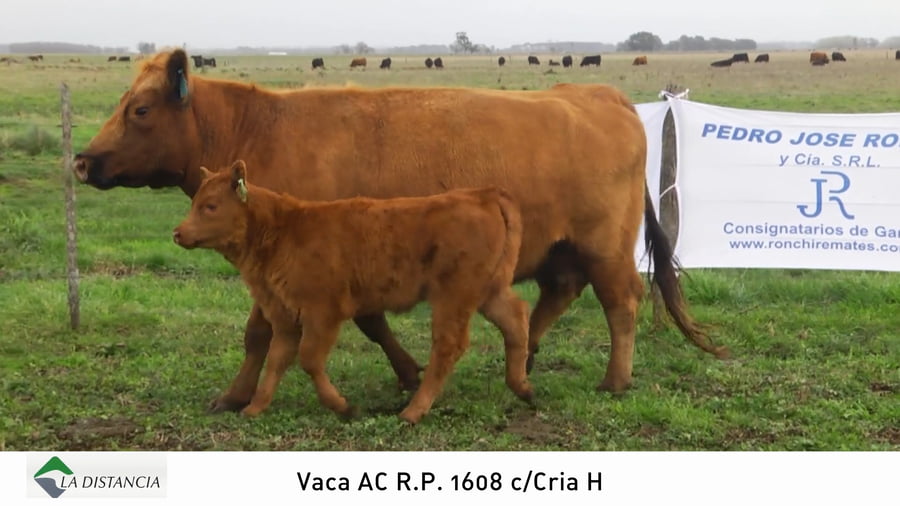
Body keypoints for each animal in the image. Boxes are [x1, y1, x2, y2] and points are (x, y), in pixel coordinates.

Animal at [173, 161, 533, 424]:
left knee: (448, 346)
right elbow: (277, 360)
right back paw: (523, 388)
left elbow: (309, 359)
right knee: (515, 318)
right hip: (488, 292)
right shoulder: (286, 316)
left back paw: (413, 411)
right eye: (196, 202)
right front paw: (255, 407)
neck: (283, 229)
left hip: (453, 298)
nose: (178, 233)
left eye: (211, 205)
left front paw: (343, 407)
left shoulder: (323, 313)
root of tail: (481, 194)